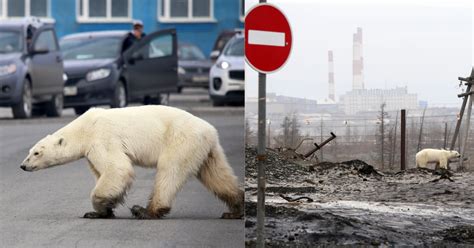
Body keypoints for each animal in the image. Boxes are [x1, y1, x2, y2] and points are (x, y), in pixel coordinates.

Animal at [19, 105, 244, 219]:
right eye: (30, 151)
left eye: (36, 153)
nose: (23, 166)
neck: (84, 128)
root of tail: (210, 130)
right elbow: (102, 173)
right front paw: (105, 209)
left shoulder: (102, 138)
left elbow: (117, 168)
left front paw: (97, 209)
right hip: (206, 149)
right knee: (216, 175)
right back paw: (235, 208)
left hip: (180, 140)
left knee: (169, 171)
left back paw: (145, 210)